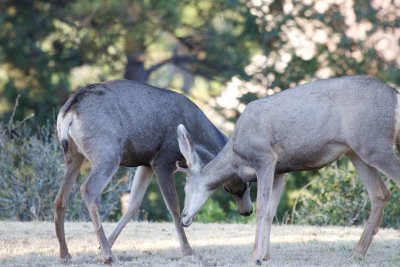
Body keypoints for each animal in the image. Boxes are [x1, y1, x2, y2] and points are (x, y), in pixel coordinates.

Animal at [54, 79, 252, 264]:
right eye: (230, 187)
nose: (247, 211)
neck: (196, 134)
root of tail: (68, 112)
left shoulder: (146, 163)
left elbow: (133, 205)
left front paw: (105, 243)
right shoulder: (162, 161)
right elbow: (174, 207)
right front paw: (188, 250)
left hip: (74, 155)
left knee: (60, 198)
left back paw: (65, 253)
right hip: (107, 151)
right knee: (88, 190)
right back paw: (108, 256)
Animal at [180, 76, 400, 266]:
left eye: (186, 187)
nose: (183, 217)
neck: (235, 154)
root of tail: (395, 96)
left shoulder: (265, 158)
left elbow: (262, 208)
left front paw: (254, 257)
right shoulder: (281, 170)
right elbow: (270, 211)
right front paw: (266, 255)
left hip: (375, 144)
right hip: (357, 150)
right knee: (380, 193)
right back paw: (357, 253)